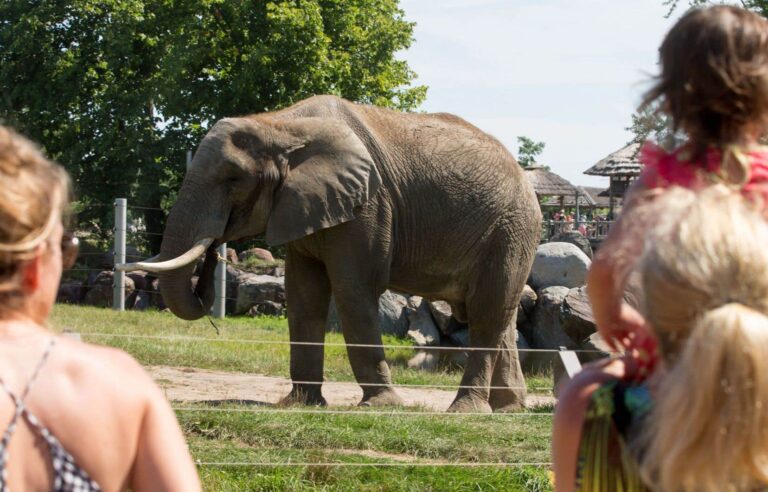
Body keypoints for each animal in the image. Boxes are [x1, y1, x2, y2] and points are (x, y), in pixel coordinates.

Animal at [121, 95, 540, 412]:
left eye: (233, 179)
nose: (212, 253)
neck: (279, 124)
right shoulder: (301, 207)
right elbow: (304, 295)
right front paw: (300, 404)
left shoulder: (367, 205)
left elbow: (353, 290)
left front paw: (381, 405)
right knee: (499, 314)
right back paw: (507, 408)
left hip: (511, 229)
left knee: (487, 311)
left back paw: (467, 411)